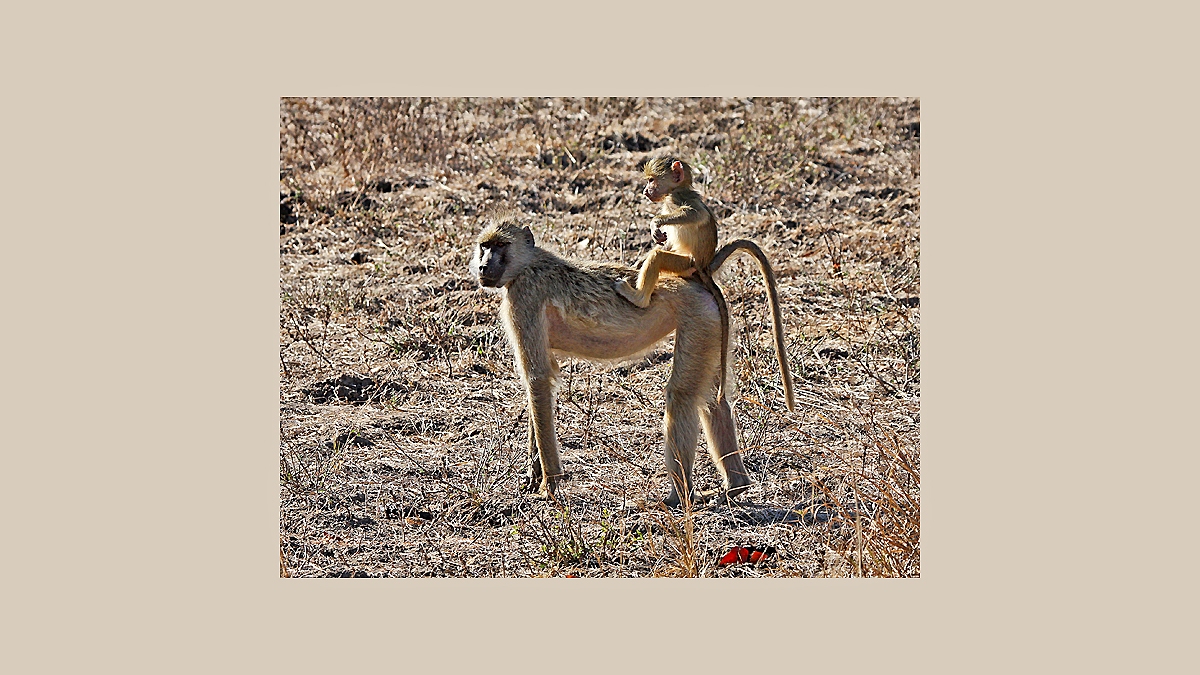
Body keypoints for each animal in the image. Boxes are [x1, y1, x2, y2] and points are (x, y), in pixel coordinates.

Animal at [471, 216, 794, 508]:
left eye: (500, 246)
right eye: (484, 246)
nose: (484, 267)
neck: (527, 264)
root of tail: (695, 275)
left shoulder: (523, 298)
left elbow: (537, 379)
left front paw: (549, 485)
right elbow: (540, 386)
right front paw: (533, 476)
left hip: (698, 316)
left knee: (681, 397)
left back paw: (680, 497)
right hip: (714, 323)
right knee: (714, 400)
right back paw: (735, 486)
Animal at [615, 157, 733, 404]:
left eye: (651, 180)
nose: (645, 190)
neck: (674, 190)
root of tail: (703, 266)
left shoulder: (678, 199)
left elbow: (696, 214)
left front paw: (656, 223)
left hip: (685, 264)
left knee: (659, 257)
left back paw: (638, 297)